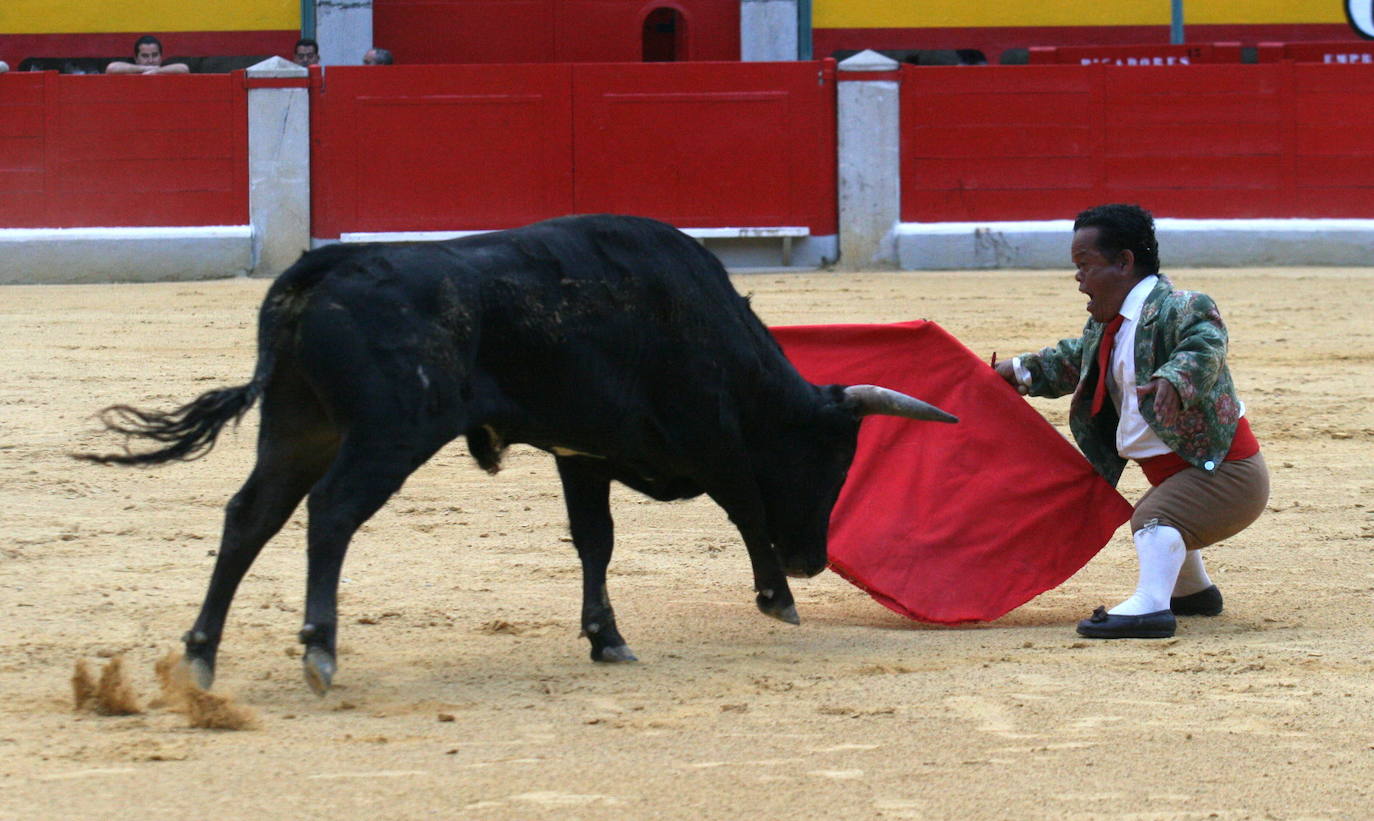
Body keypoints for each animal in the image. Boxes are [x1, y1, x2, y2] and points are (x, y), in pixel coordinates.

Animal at [77, 214, 956, 694]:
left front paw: (607, 637)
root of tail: (325, 267)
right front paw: (778, 598)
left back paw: (200, 657)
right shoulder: (710, 435)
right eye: (835, 460)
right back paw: (319, 649)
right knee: (330, 513)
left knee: (250, 516)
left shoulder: (583, 452)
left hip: (300, 428)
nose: (813, 559)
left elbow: (596, 541)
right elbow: (742, 503)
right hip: (389, 433)